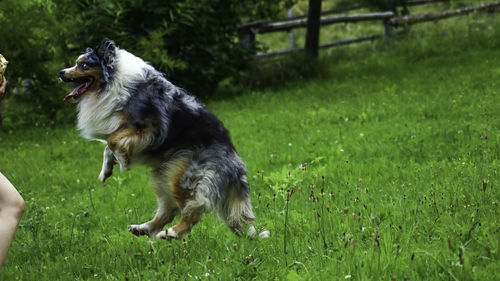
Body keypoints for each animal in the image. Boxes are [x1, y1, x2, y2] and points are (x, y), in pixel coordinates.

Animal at [59, 40, 258, 238]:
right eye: (77, 63)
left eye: (83, 65)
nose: (61, 72)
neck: (112, 80)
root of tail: (236, 165)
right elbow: (108, 148)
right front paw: (105, 172)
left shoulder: (146, 129)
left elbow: (112, 141)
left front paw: (122, 161)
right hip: (165, 174)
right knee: (168, 209)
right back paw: (143, 228)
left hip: (186, 177)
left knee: (193, 210)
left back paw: (172, 233)